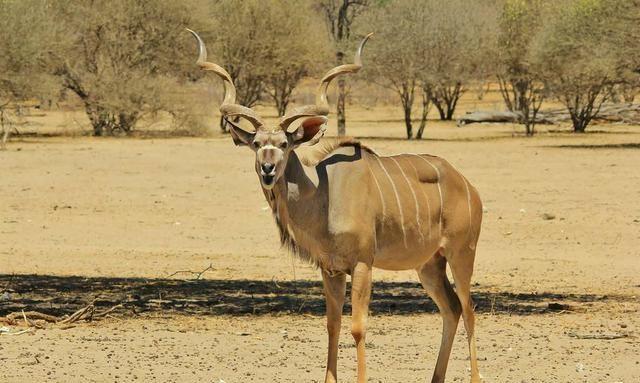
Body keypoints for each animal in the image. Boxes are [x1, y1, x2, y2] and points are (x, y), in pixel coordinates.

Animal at [188, 28, 482, 382]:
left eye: (285, 144)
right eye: (256, 144)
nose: (268, 169)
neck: (324, 198)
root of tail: (467, 186)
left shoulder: (363, 264)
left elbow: (357, 327)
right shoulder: (330, 269)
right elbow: (332, 324)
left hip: (461, 253)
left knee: (468, 308)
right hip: (429, 264)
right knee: (451, 308)